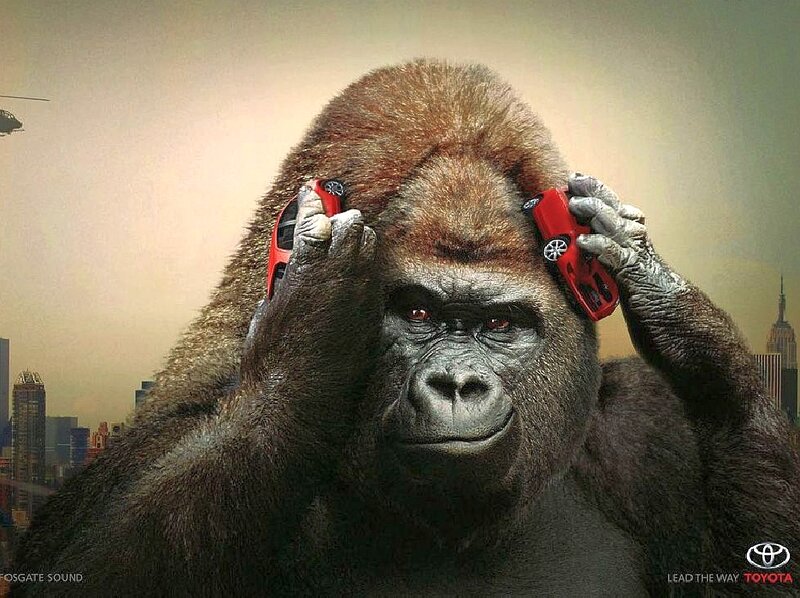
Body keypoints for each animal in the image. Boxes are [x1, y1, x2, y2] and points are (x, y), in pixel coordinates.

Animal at [11, 59, 800, 597]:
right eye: (417, 313)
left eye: (501, 323)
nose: (456, 382)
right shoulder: (153, 438)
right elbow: (91, 563)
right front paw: (309, 323)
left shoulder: (646, 429)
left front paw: (672, 309)